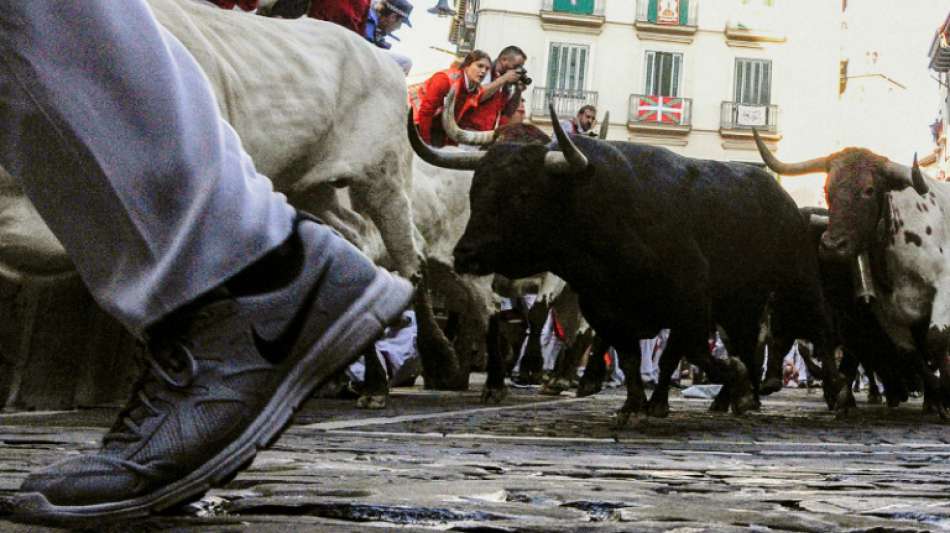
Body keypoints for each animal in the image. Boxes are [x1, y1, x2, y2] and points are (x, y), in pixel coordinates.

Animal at [412, 111, 844, 420]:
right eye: (475, 189)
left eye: (522, 193)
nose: (464, 254)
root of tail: (784, 200)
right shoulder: (605, 310)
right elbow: (633, 357)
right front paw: (636, 403)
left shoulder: (690, 306)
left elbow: (688, 356)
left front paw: (710, 386)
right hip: (741, 304)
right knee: (750, 342)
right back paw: (733, 398)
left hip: (797, 285)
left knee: (817, 331)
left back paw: (831, 391)